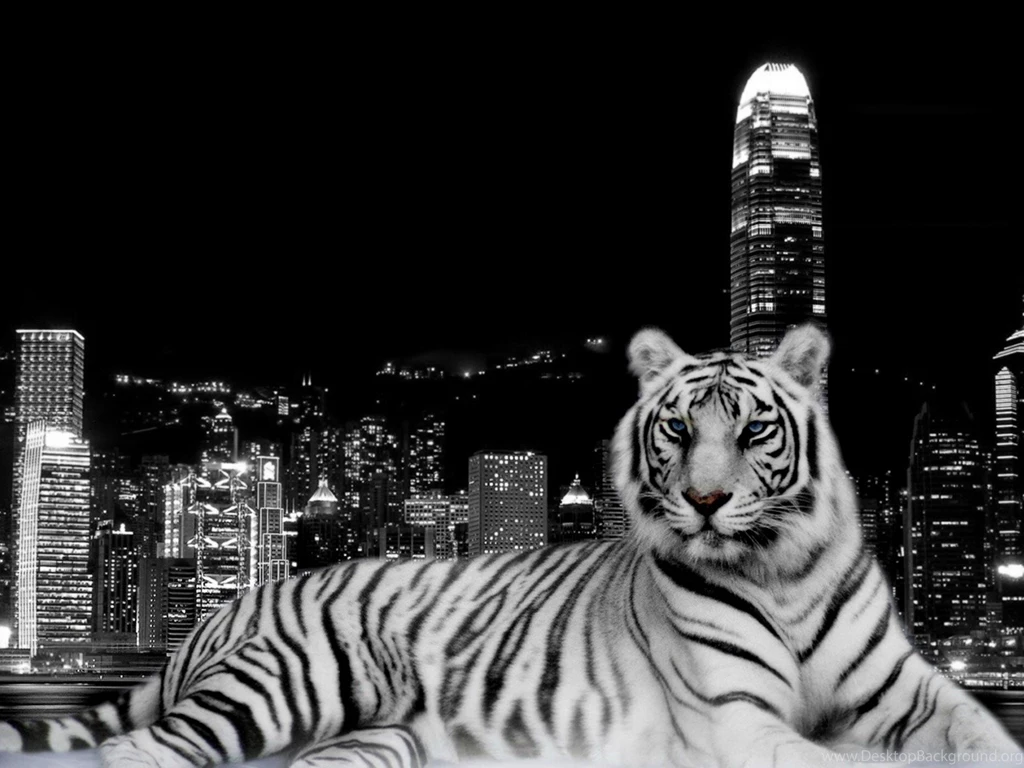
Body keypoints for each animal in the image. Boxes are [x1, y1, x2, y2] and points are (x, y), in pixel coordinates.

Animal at [1, 323, 1020, 768]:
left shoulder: (917, 693)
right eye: (678, 430)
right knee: (138, 754)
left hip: (383, 738)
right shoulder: (734, 716)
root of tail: (230, 605)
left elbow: (986, 737)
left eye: (752, 430)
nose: (703, 502)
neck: (784, 570)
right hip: (289, 683)